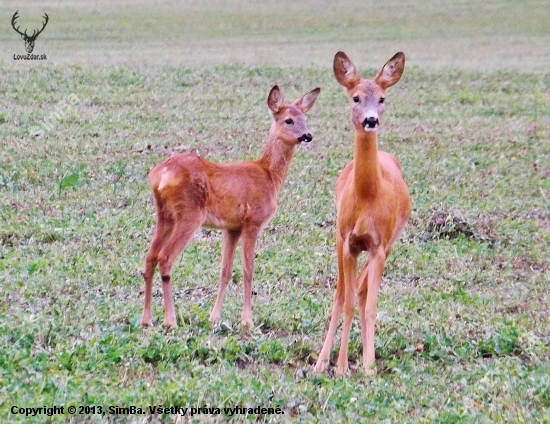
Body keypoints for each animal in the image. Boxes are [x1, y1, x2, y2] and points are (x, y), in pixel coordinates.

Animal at [142, 84, 322, 330]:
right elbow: (248, 270)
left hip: (164, 215)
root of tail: (160, 175)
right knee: (165, 258)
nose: (307, 135)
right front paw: (247, 320)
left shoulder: (232, 227)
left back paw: (146, 320)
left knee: (150, 256)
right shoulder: (253, 220)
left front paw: (214, 317)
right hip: (189, 214)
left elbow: (225, 271)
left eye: (305, 118)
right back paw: (171, 321)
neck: (269, 175)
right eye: (288, 120)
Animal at [316, 52, 412, 374]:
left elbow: (370, 305)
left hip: (392, 242)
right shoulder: (348, 241)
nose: (371, 119)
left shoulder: (379, 244)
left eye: (382, 98)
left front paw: (369, 366)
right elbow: (344, 301)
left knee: (359, 290)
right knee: (340, 294)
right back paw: (321, 361)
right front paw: (340, 365)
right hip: (337, 239)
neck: (367, 197)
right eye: (355, 97)